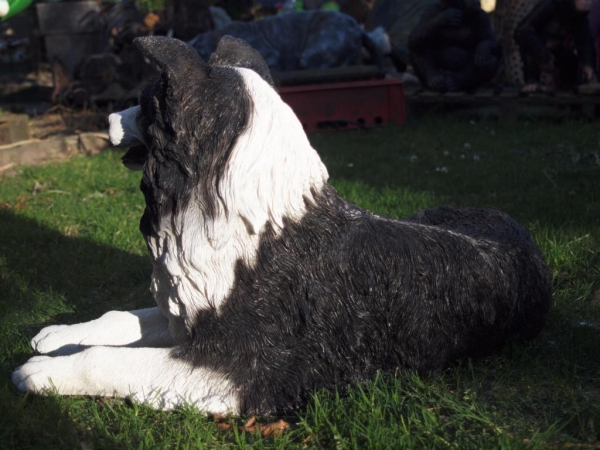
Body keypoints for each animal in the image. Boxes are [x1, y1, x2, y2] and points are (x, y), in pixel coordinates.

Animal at [10, 37, 552, 416]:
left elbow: (106, 358)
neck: (250, 223)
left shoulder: (243, 367)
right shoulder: (195, 309)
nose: (105, 117)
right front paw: (60, 335)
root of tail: (514, 225)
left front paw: (41, 371)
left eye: (144, 102)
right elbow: (122, 317)